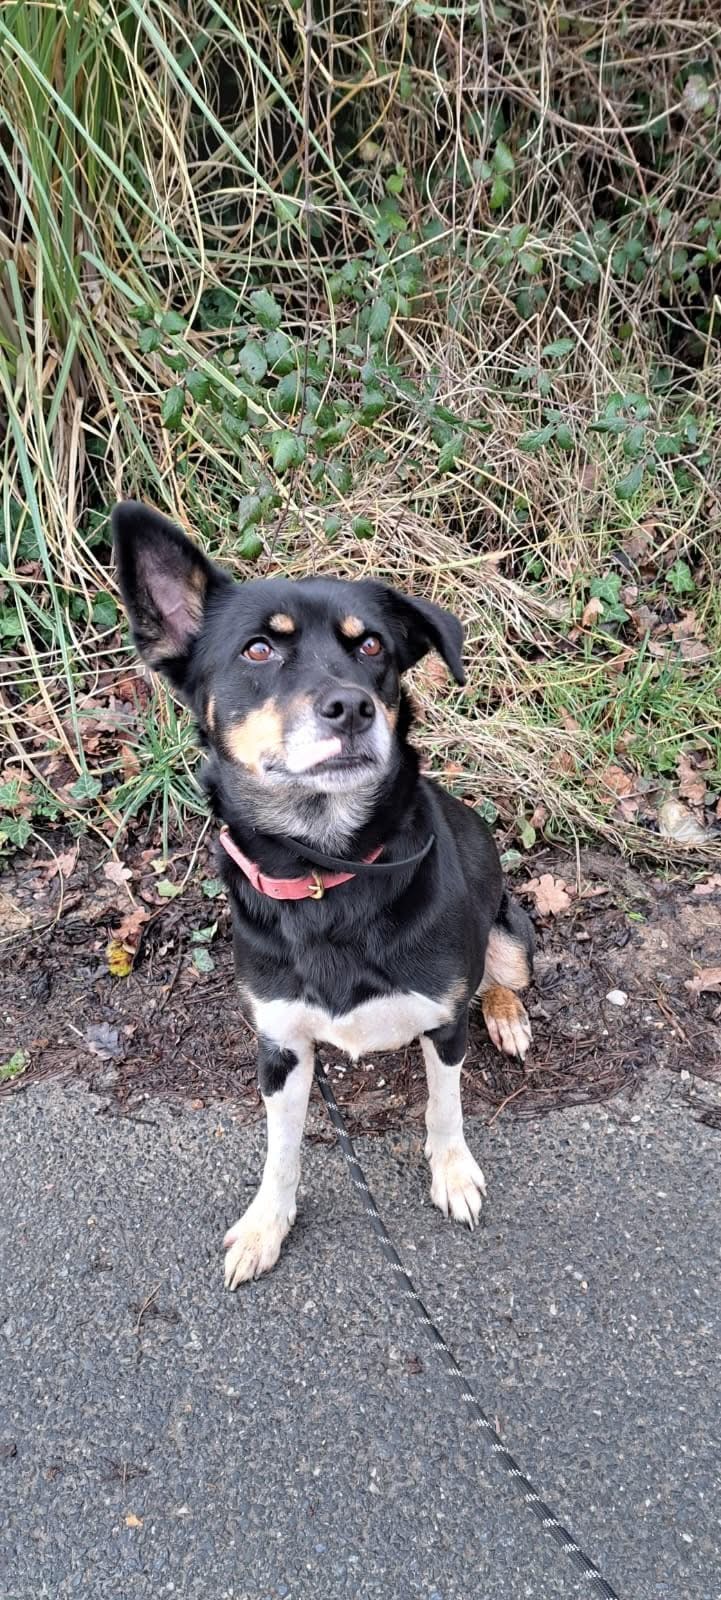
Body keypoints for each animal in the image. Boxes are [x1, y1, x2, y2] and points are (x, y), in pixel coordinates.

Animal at [113, 500, 534, 1289]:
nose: (351, 707)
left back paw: (506, 1015)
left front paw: (453, 1173)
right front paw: (265, 1227)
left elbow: (445, 1107)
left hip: (510, 931)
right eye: (257, 651)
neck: (327, 871)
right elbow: (281, 1151)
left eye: (370, 644)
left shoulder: (443, 1022)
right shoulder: (280, 1044)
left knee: (500, 976)